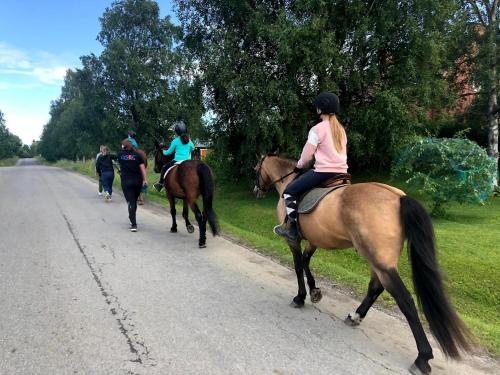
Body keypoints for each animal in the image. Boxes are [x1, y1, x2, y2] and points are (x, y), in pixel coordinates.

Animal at [254, 153, 472, 375]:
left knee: (405, 300)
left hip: (380, 261)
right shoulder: (314, 240)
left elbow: (298, 267)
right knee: (376, 287)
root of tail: (398, 197)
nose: (257, 191)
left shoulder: (294, 240)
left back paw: (423, 358)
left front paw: (300, 297)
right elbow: (306, 263)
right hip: (378, 259)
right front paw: (315, 291)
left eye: (256, 169)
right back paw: (355, 316)